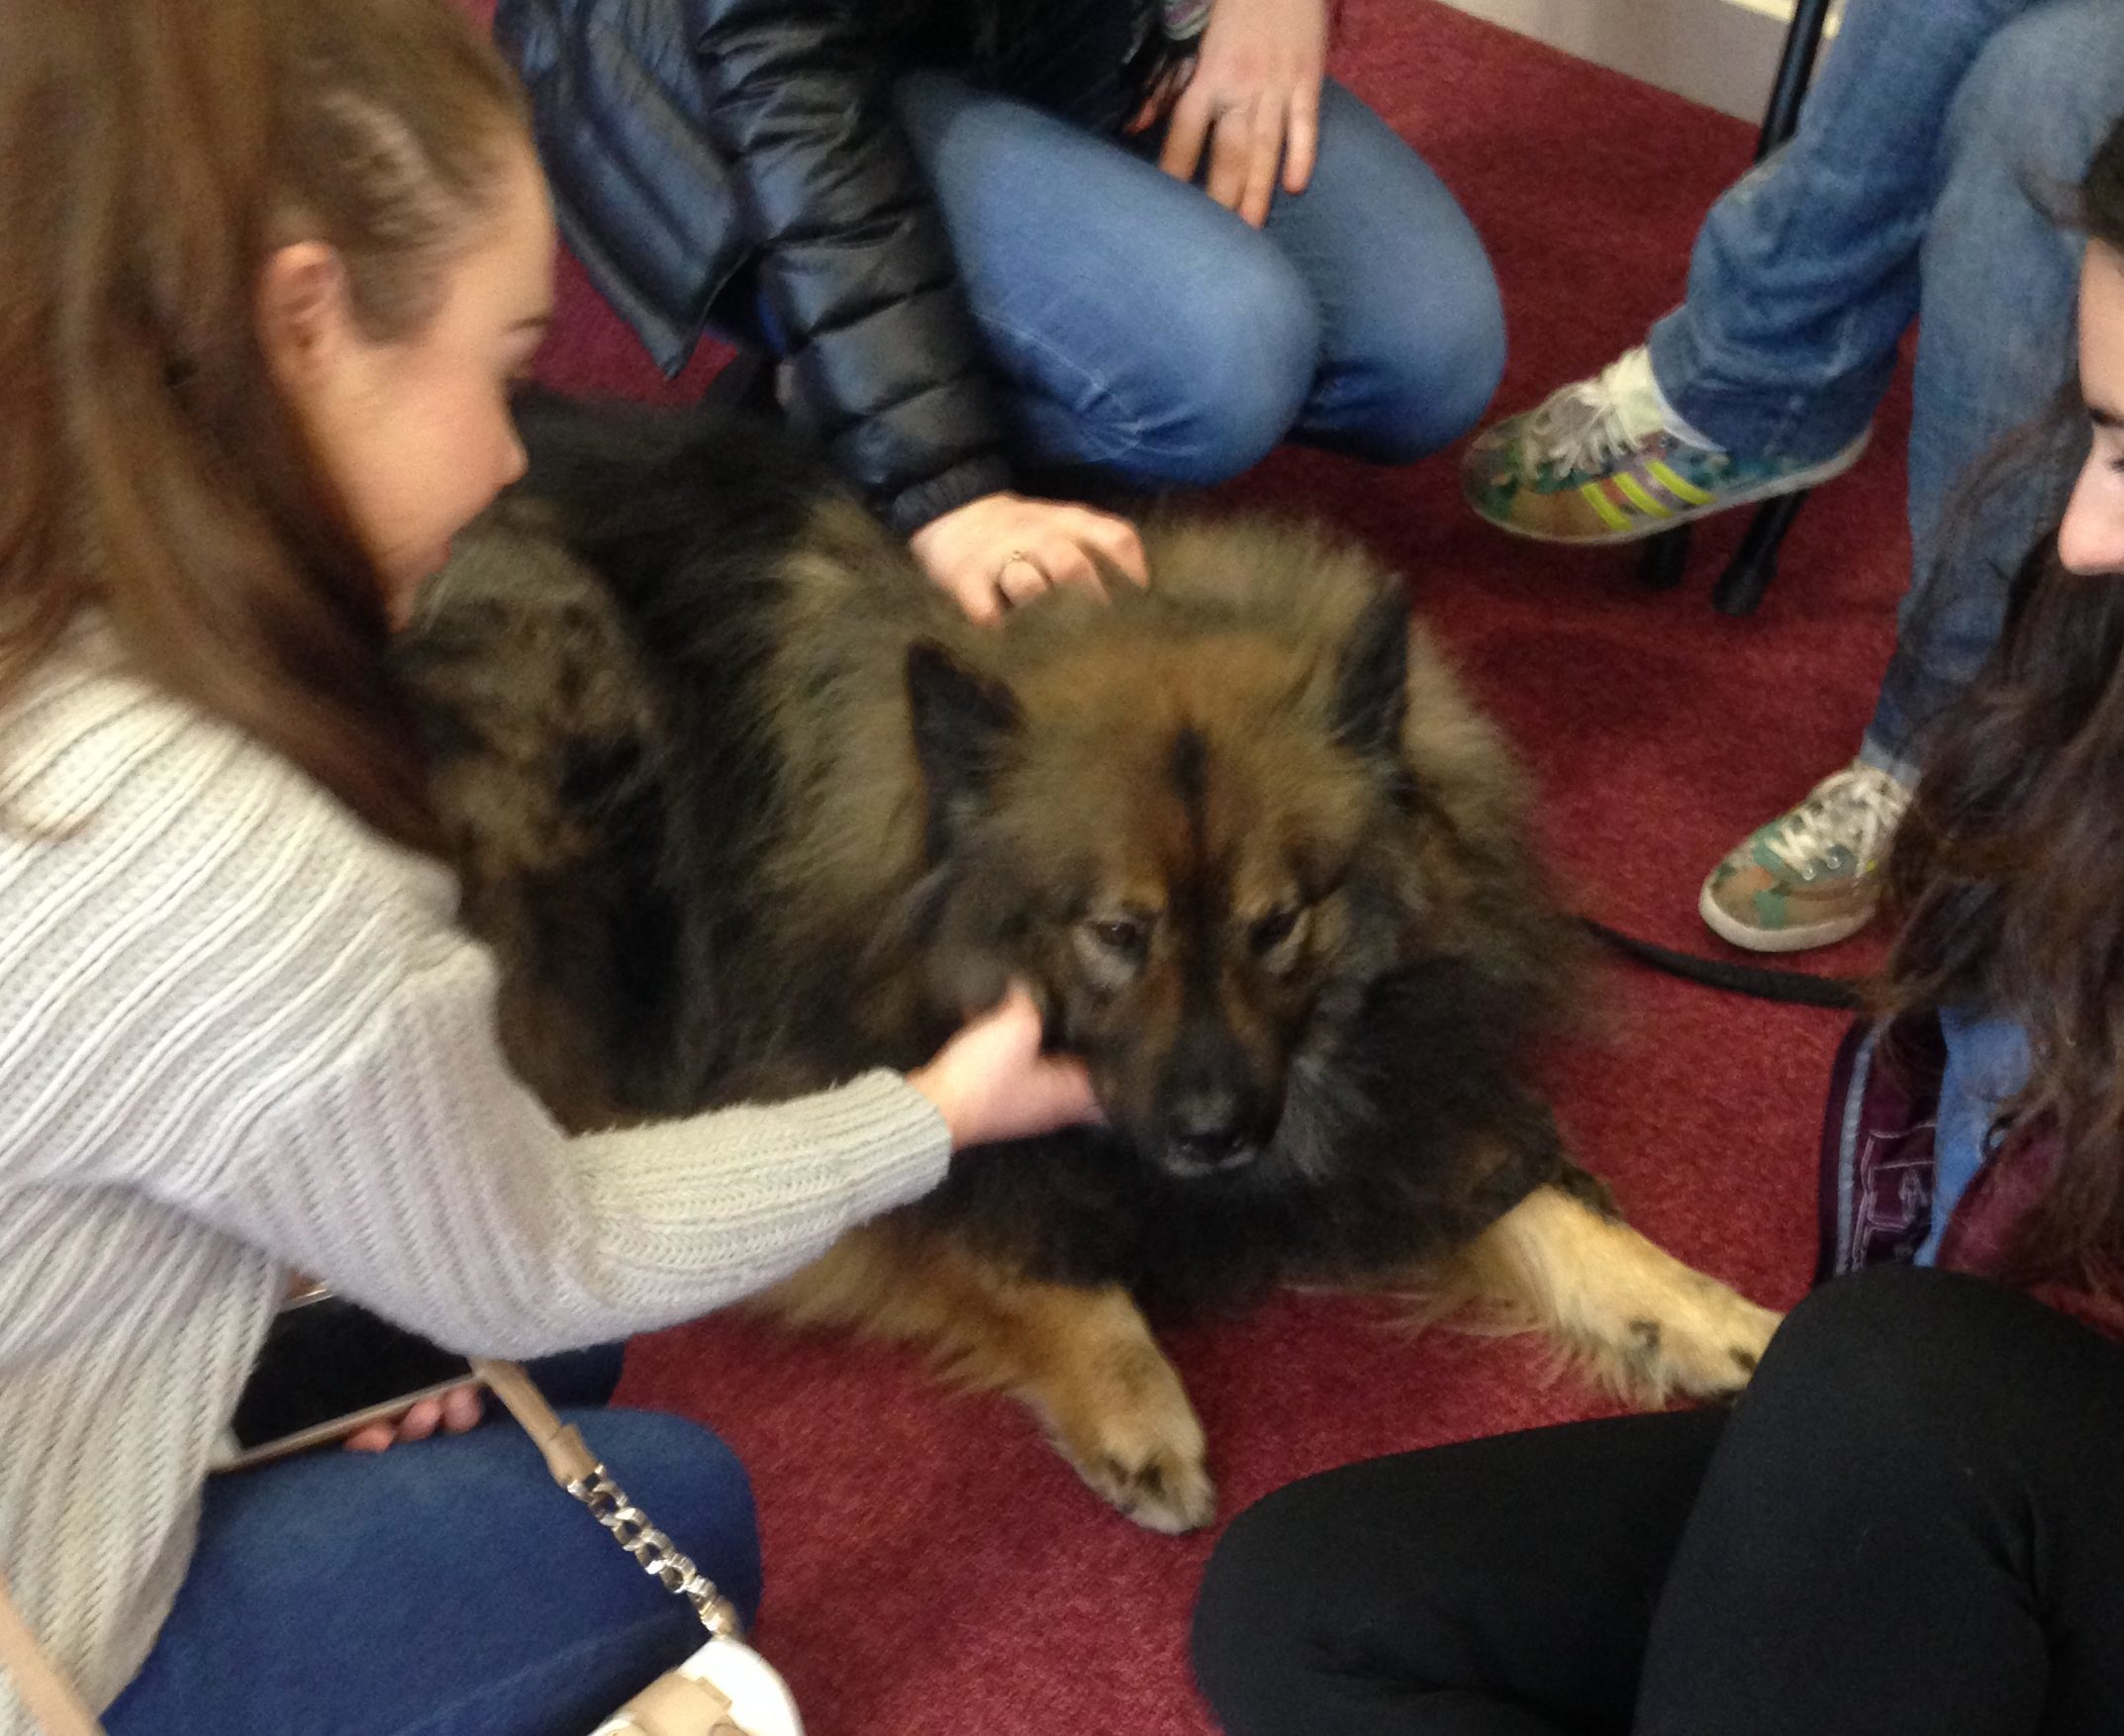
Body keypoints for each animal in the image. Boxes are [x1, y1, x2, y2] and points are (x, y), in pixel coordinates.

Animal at [401, 395, 1776, 1529]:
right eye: (1118, 931)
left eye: (1278, 921)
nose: (1216, 1131)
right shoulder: (804, 1096)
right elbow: (994, 1232)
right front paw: (1131, 1396)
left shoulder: (1385, 1097)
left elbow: (1536, 1192)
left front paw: (1695, 1306)